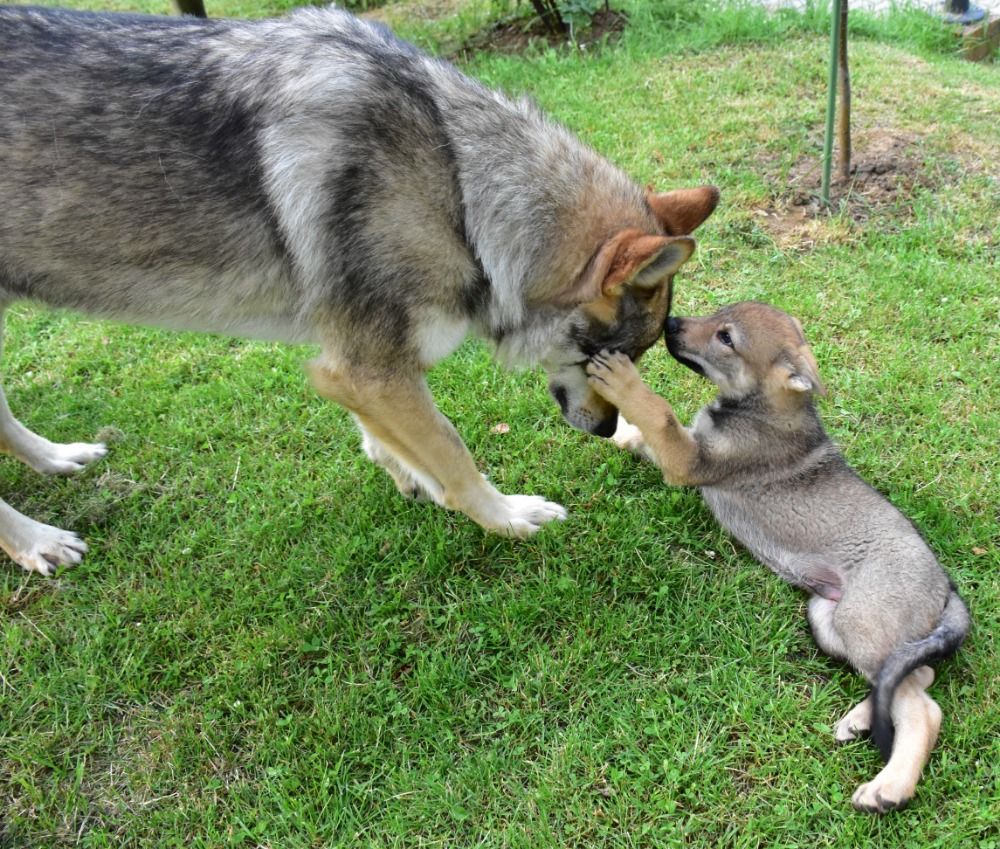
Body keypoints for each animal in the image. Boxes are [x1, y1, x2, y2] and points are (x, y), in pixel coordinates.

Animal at [0, 4, 720, 576]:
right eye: (610, 358)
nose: (604, 429)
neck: (456, 187)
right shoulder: (369, 367)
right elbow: (453, 454)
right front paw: (508, 516)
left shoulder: (353, 366)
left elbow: (384, 437)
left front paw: (406, 472)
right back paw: (38, 542)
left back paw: (58, 458)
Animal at [584, 302, 968, 812]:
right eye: (718, 316)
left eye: (726, 338)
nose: (670, 323)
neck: (758, 408)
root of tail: (947, 588)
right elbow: (641, 434)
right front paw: (614, 430)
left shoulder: (688, 460)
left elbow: (658, 413)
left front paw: (621, 381)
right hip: (827, 620)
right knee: (915, 674)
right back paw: (861, 720)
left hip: (861, 623)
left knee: (924, 707)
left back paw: (889, 787)